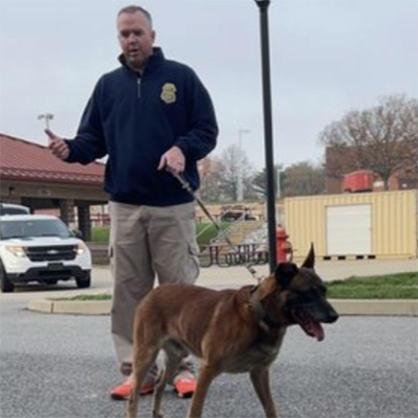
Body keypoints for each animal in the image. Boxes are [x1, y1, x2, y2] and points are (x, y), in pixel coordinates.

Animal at [125, 245, 338, 418]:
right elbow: (195, 410)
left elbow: (270, 409)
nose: (335, 316)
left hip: (176, 356)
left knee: (159, 384)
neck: (259, 315)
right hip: (145, 355)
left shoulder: (260, 373)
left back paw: (157, 412)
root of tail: (154, 292)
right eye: (308, 293)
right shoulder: (207, 370)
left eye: (324, 291)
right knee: (134, 395)